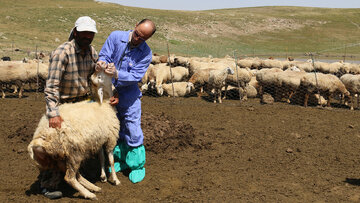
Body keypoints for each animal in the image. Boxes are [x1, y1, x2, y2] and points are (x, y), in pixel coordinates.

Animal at [27, 70, 121, 200]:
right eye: (99, 77)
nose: (95, 71)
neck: (104, 103)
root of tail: (39, 138)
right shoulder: (110, 138)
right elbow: (111, 160)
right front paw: (115, 179)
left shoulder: (99, 139)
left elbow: (102, 157)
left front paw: (103, 176)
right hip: (73, 153)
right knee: (70, 178)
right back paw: (89, 194)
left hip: (60, 157)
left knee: (76, 175)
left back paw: (93, 187)